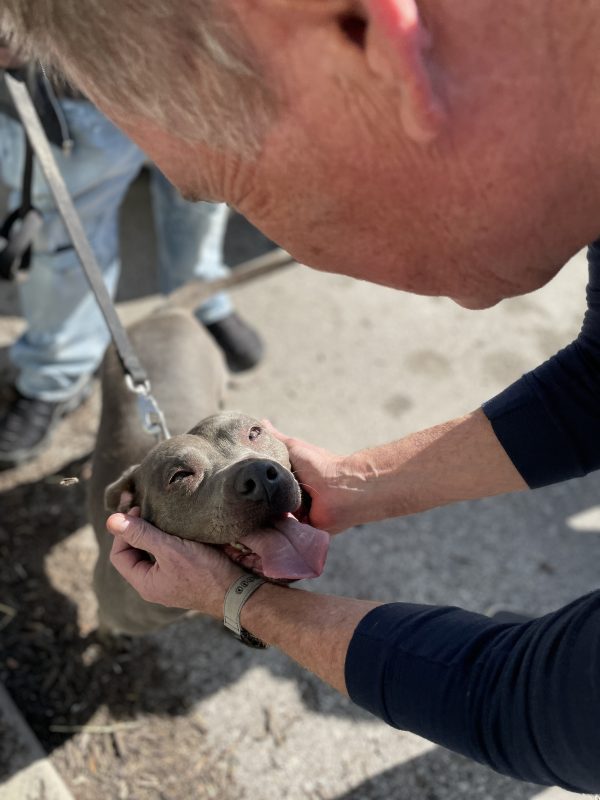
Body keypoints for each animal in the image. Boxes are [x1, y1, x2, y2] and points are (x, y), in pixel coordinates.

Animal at [88, 308, 328, 636]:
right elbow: (103, 625)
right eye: (180, 476)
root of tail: (164, 311)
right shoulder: (107, 609)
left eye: (254, 433)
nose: (259, 475)